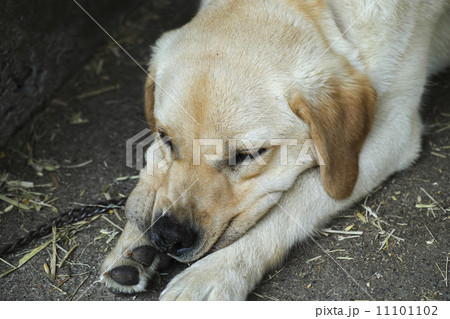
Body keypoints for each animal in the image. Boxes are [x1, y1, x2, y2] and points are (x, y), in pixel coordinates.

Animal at [99, 0, 450, 300]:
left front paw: (216, 272)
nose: (169, 236)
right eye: (166, 138)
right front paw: (136, 236)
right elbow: (154, 170)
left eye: (247, 154)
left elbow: (292, 204)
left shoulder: (391, 132)